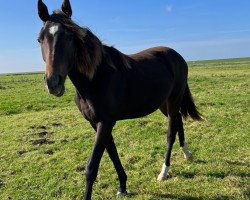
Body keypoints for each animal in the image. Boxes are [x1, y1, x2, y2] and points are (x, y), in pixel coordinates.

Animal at [36, 0, 201, 198]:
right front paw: (122, 186)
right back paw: (187, 154)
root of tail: (178, 57)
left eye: (69, 37)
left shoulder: (106, 122)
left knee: (170, 133)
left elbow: (92, 166)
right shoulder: (96, 123)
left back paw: (164, 171)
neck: (96, 78)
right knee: (178, 122)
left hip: (174, 99)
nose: (53, 83)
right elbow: (112, 153)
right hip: (165, 104)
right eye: (39, 39)